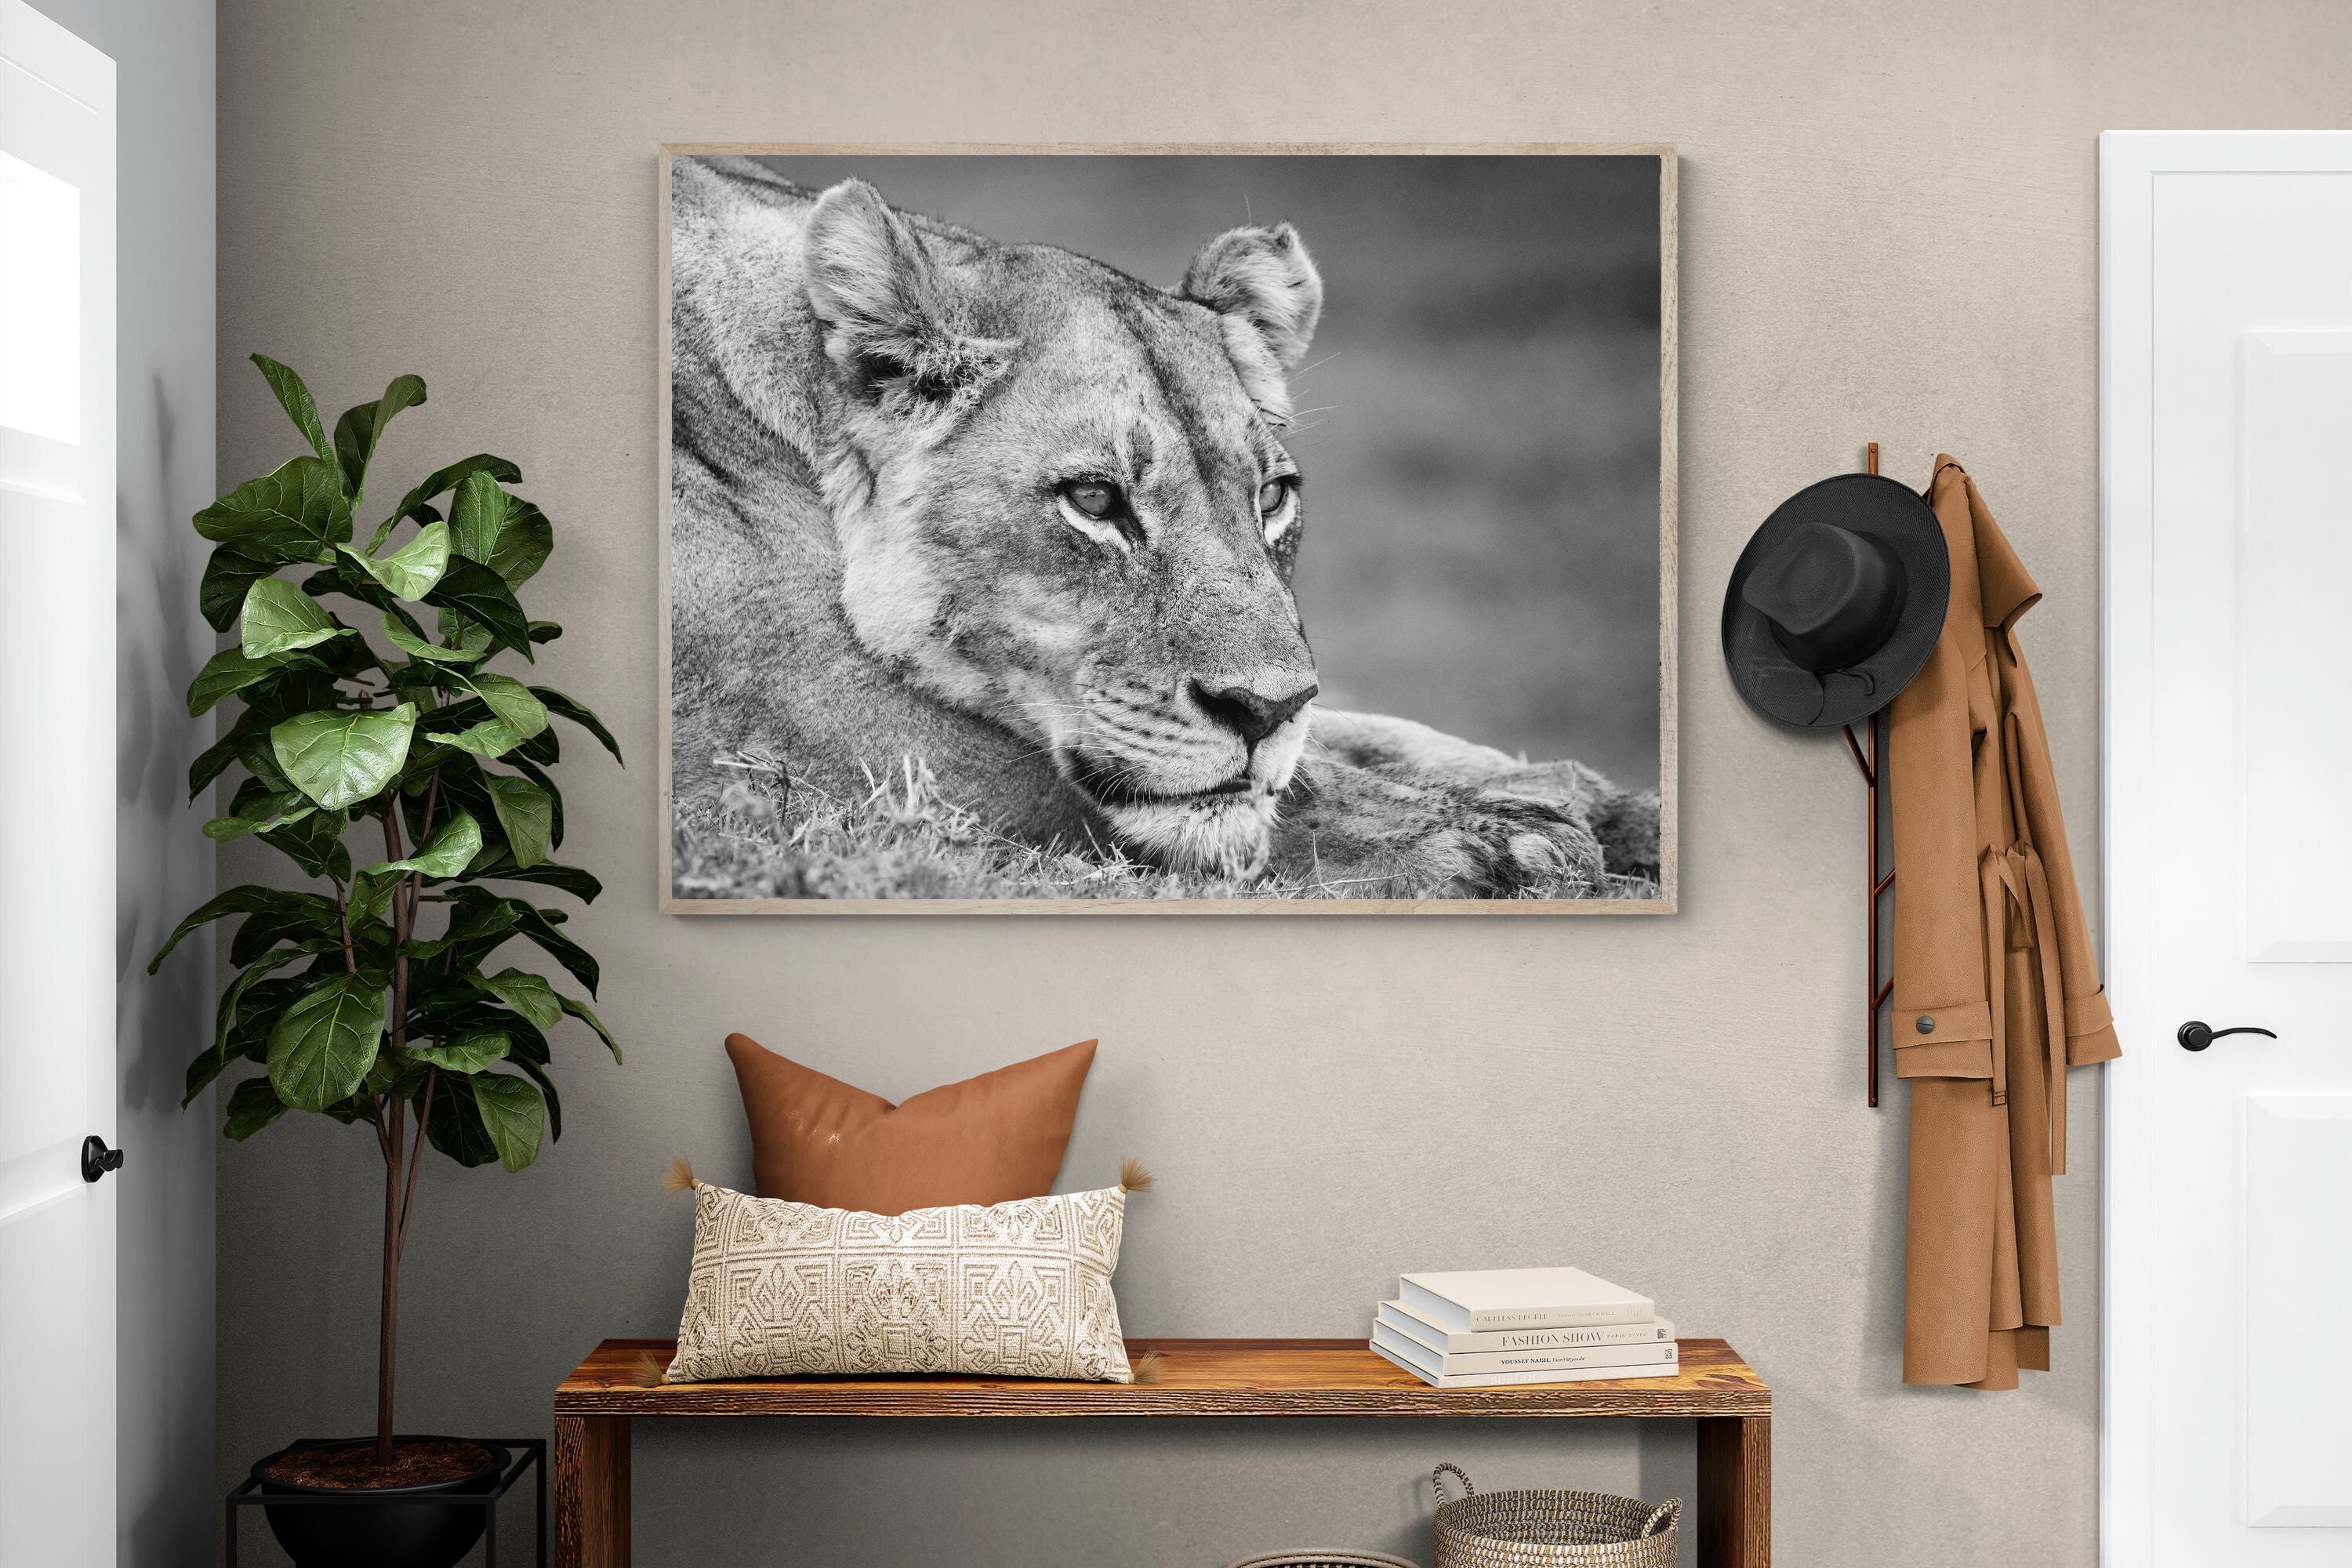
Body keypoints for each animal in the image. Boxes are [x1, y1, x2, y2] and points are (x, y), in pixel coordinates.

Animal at [668, 156, 1659, 898]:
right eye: (1095, 499)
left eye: (1273, 497)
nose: (1262, 712)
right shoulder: (813, 729)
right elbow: (1262, 793)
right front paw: (1501, 841)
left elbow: (1357, 735)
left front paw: (1603, 805)